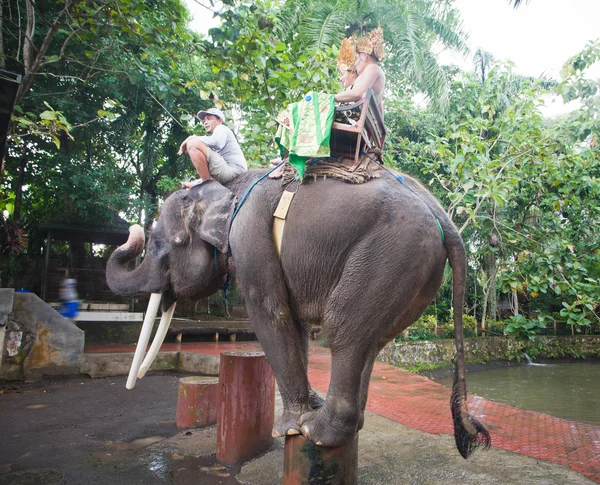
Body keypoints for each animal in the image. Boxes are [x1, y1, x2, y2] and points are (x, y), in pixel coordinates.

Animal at [108, 168, 490, 456]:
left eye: (160, 244)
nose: (134, 230)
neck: (229, 188)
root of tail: (443, 216)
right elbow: (297, 325)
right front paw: (308, 406)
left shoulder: (248, 236)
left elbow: (270, 314)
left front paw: (287, 429)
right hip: (414, 269)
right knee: (372, 339)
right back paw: (343, 426)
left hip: (392, 252)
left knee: (343, 330)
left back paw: (318, 433)